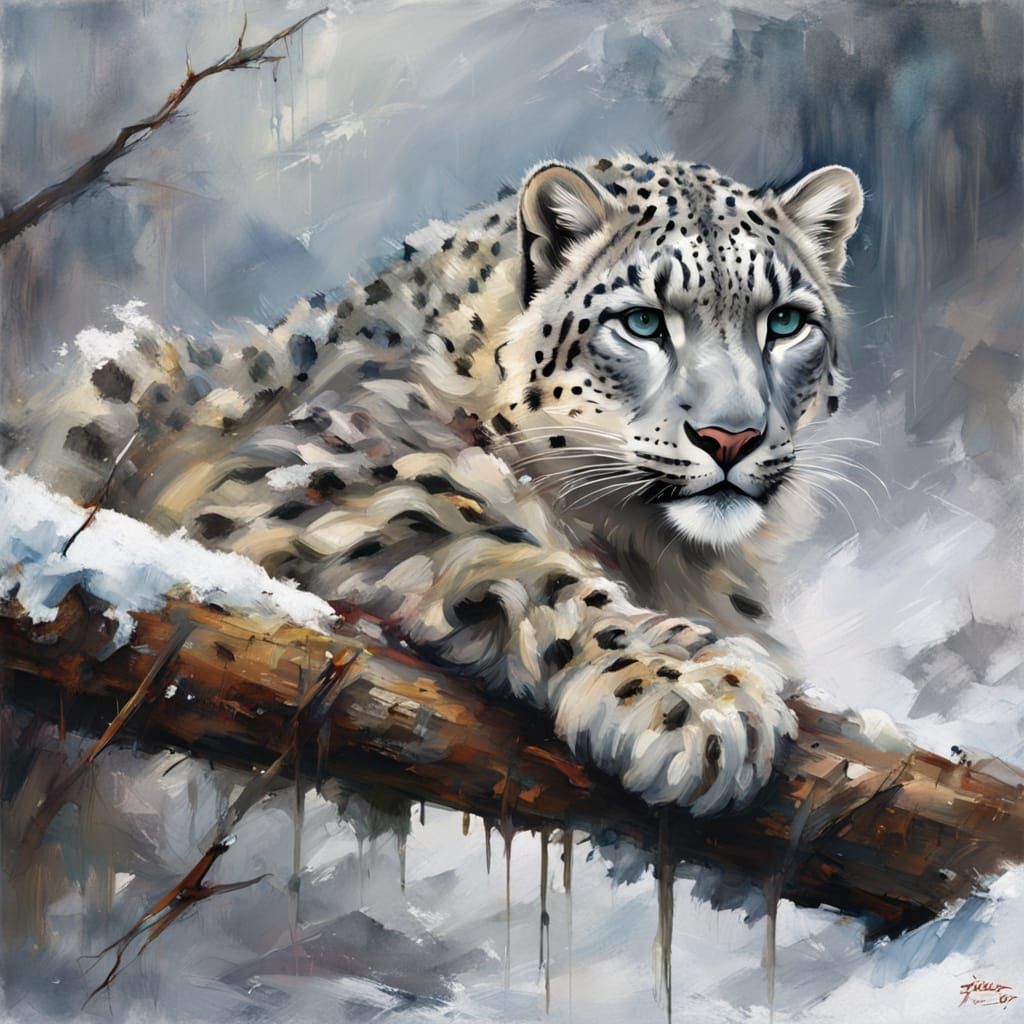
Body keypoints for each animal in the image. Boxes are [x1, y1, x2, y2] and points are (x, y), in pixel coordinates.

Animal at [4, 151, 863, 817]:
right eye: (644, 322)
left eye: (786, 322)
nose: (732, 437)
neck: (654, 548)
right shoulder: (308, 465)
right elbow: (506, 541)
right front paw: (699, 696)